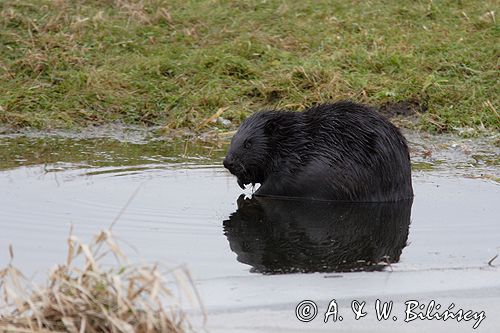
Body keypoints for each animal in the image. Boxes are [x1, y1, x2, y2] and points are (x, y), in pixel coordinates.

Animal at [225, 101, 412, 201]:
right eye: (233, 139)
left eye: (248, 143)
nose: (227, 162)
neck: (294, 141)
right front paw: (242, 181)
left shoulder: (293, 164)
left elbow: (277, 184)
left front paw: (254, 193)